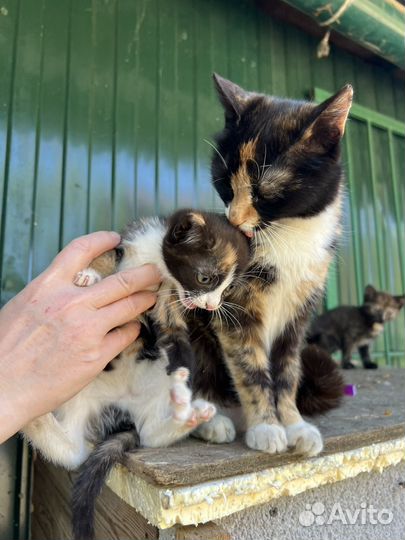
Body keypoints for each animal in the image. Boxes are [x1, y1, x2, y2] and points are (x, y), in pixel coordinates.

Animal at [188, 74, 348, 458]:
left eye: (264, 192)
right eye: (224, 182)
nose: (233, 220)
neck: (288, 232)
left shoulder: (300, 312)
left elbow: (287, 371)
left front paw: (294, 424)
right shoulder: (234, 307)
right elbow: (251, 366)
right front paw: (266, 427)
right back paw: (210, 420)